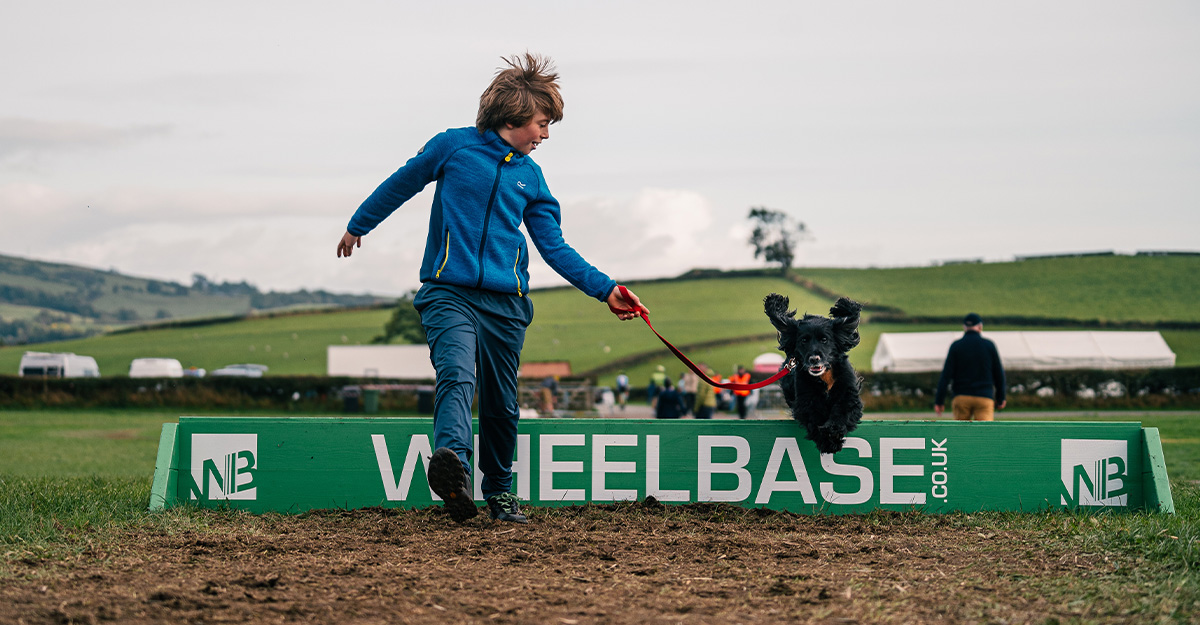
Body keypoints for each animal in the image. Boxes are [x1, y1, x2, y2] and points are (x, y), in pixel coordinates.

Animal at [768, 293, 864, 453]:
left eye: (824, 339)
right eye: (804, 340)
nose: (814, 359)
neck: (824, 376)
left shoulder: (848, 394)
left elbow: (841, 413)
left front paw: (833, 434)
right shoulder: (806, 400)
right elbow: (814, 417)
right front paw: (827, 441)